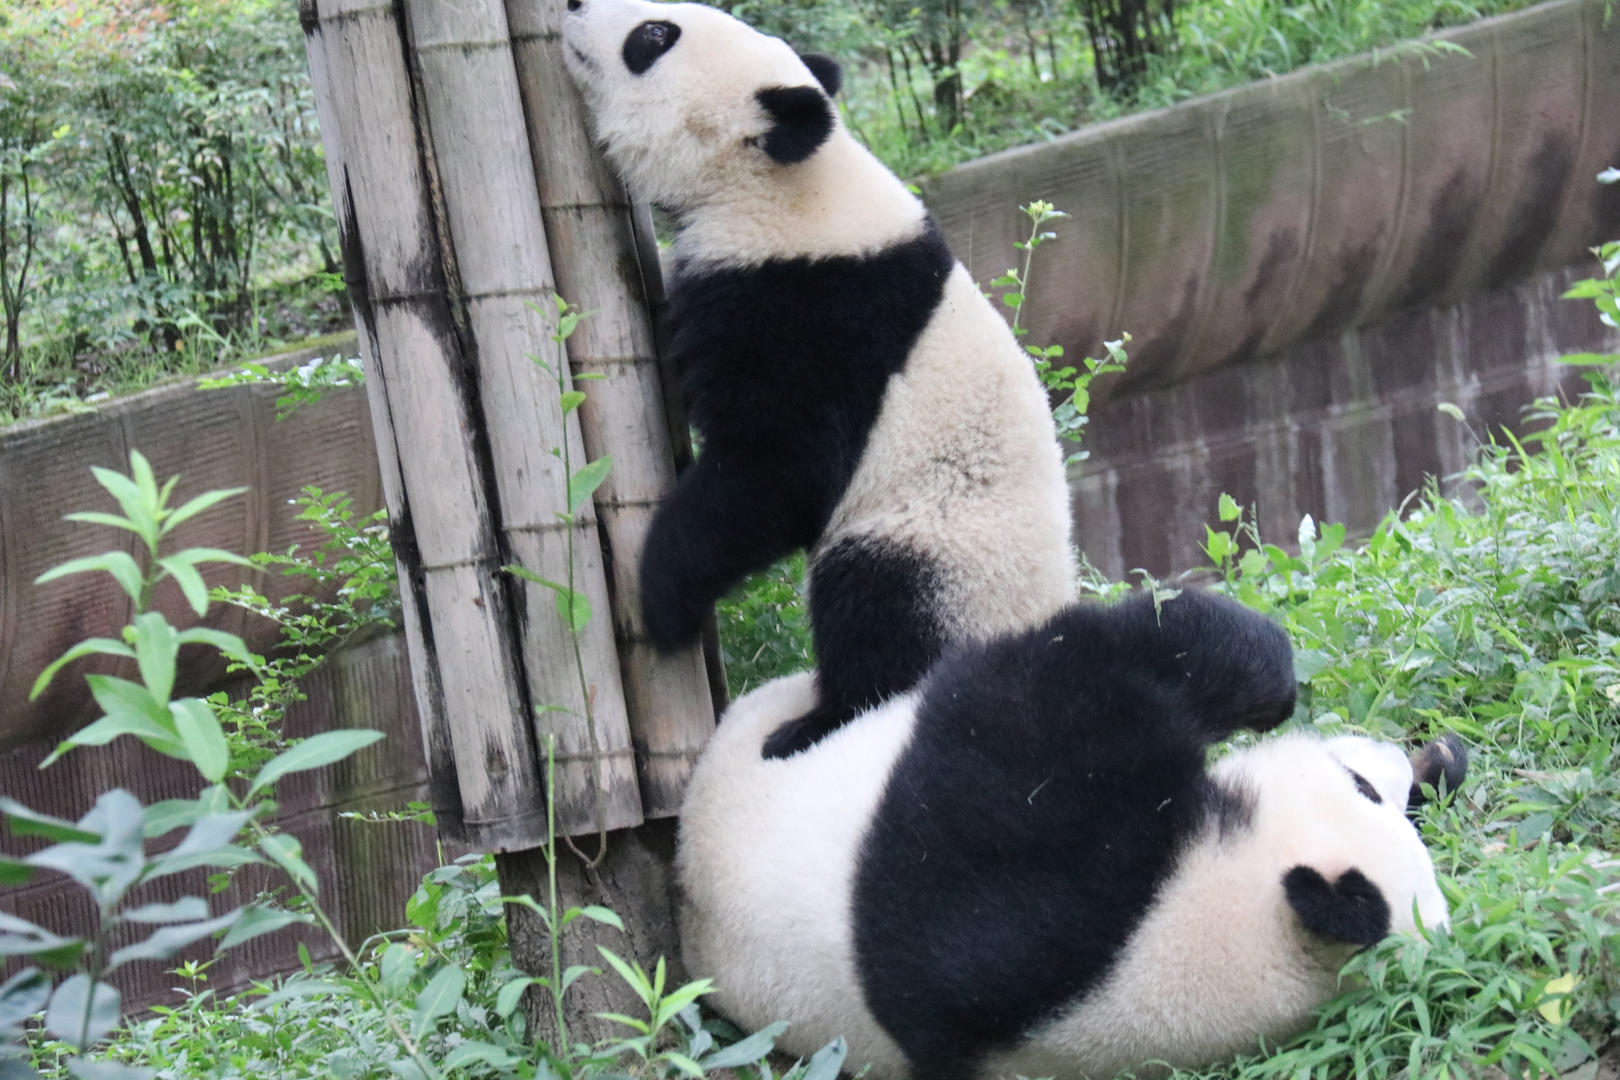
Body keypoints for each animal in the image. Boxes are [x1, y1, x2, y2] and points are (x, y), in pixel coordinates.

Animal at [563, 0, 1082, 761]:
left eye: (654, 36)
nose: (571, 6)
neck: (794, 182)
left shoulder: (813, 310)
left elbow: (779, 474)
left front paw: (662, 600)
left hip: (944, 546)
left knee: (880, 613)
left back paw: (811, 724)